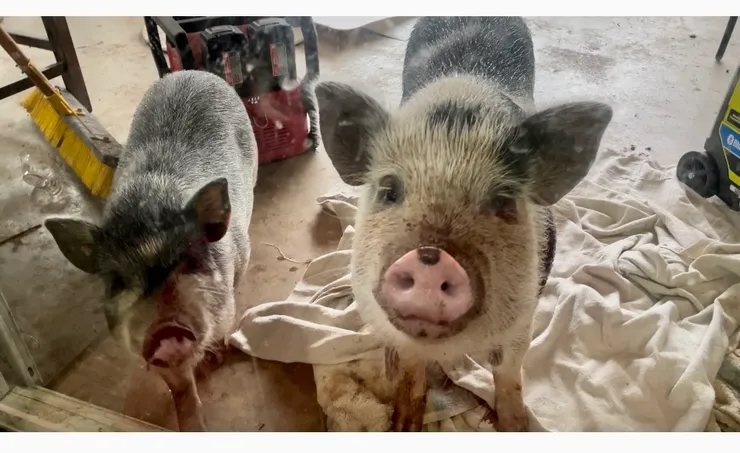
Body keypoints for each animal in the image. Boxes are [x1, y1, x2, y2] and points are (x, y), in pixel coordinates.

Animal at [43, 69, 258, 431]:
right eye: (116, 282)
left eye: (191, 260)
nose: (166, 328)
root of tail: (192, 73)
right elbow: (180, 390)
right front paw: (192, 425)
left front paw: (217, 357)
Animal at [314, 16, 612, 431]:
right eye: (389, 190)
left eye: (503, 200)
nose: (429, 254)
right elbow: (411, 367)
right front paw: (403, 425)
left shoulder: (525, 312)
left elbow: (509, 372)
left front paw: (516, 426)